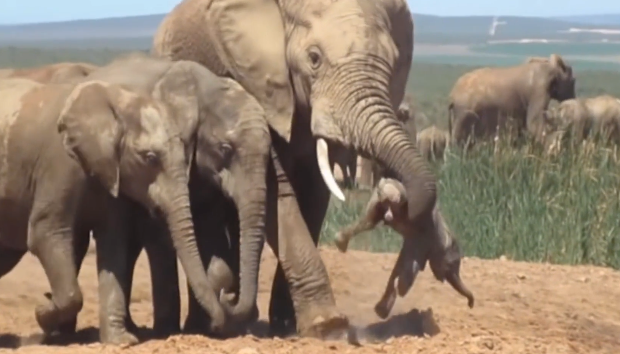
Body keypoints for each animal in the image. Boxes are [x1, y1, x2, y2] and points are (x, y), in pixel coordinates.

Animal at [153, 0, 438, 338]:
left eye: (394, 62)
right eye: (314, 59)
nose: (394, 201)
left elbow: (315, 195)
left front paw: (288, 323)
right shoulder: (259, 86)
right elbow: (278, 191)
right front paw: (328, 326)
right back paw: (210, 319)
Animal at [334, 178, 474, 320]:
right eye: (451, 265)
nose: (470, 305)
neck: (446, 237)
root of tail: (386, 182)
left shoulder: (415, 239)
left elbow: (401, 263)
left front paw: (381, 311)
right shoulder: (422, 241)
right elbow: (408, 270)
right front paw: (399, 288)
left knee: (368, 222)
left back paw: (340, 242)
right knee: (369, 221)